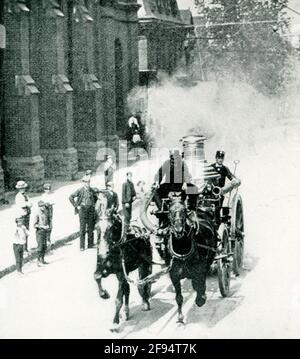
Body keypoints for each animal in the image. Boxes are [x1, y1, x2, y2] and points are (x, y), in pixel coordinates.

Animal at [165, 195, 217, 324]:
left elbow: (201, 286)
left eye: (184, 210)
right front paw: (180, 317)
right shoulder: (174, 275)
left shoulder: (200, 269)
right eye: (170, 211)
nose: (178, 230)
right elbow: (179, 297)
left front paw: (201, 299)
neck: (182, 251)